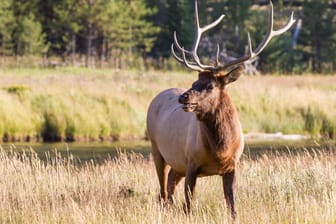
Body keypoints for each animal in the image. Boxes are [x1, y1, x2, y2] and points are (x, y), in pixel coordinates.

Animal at [146, 0, 296, 220]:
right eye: (194, 82)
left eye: (210, 86)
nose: (184, 97)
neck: (220, 150)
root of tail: (155, 98)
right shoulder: (191, 163)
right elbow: (188, 205)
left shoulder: (232, 166)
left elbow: (232, 205)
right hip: (157, 149)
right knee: (163, 191)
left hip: (176, 164)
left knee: (169, 186)